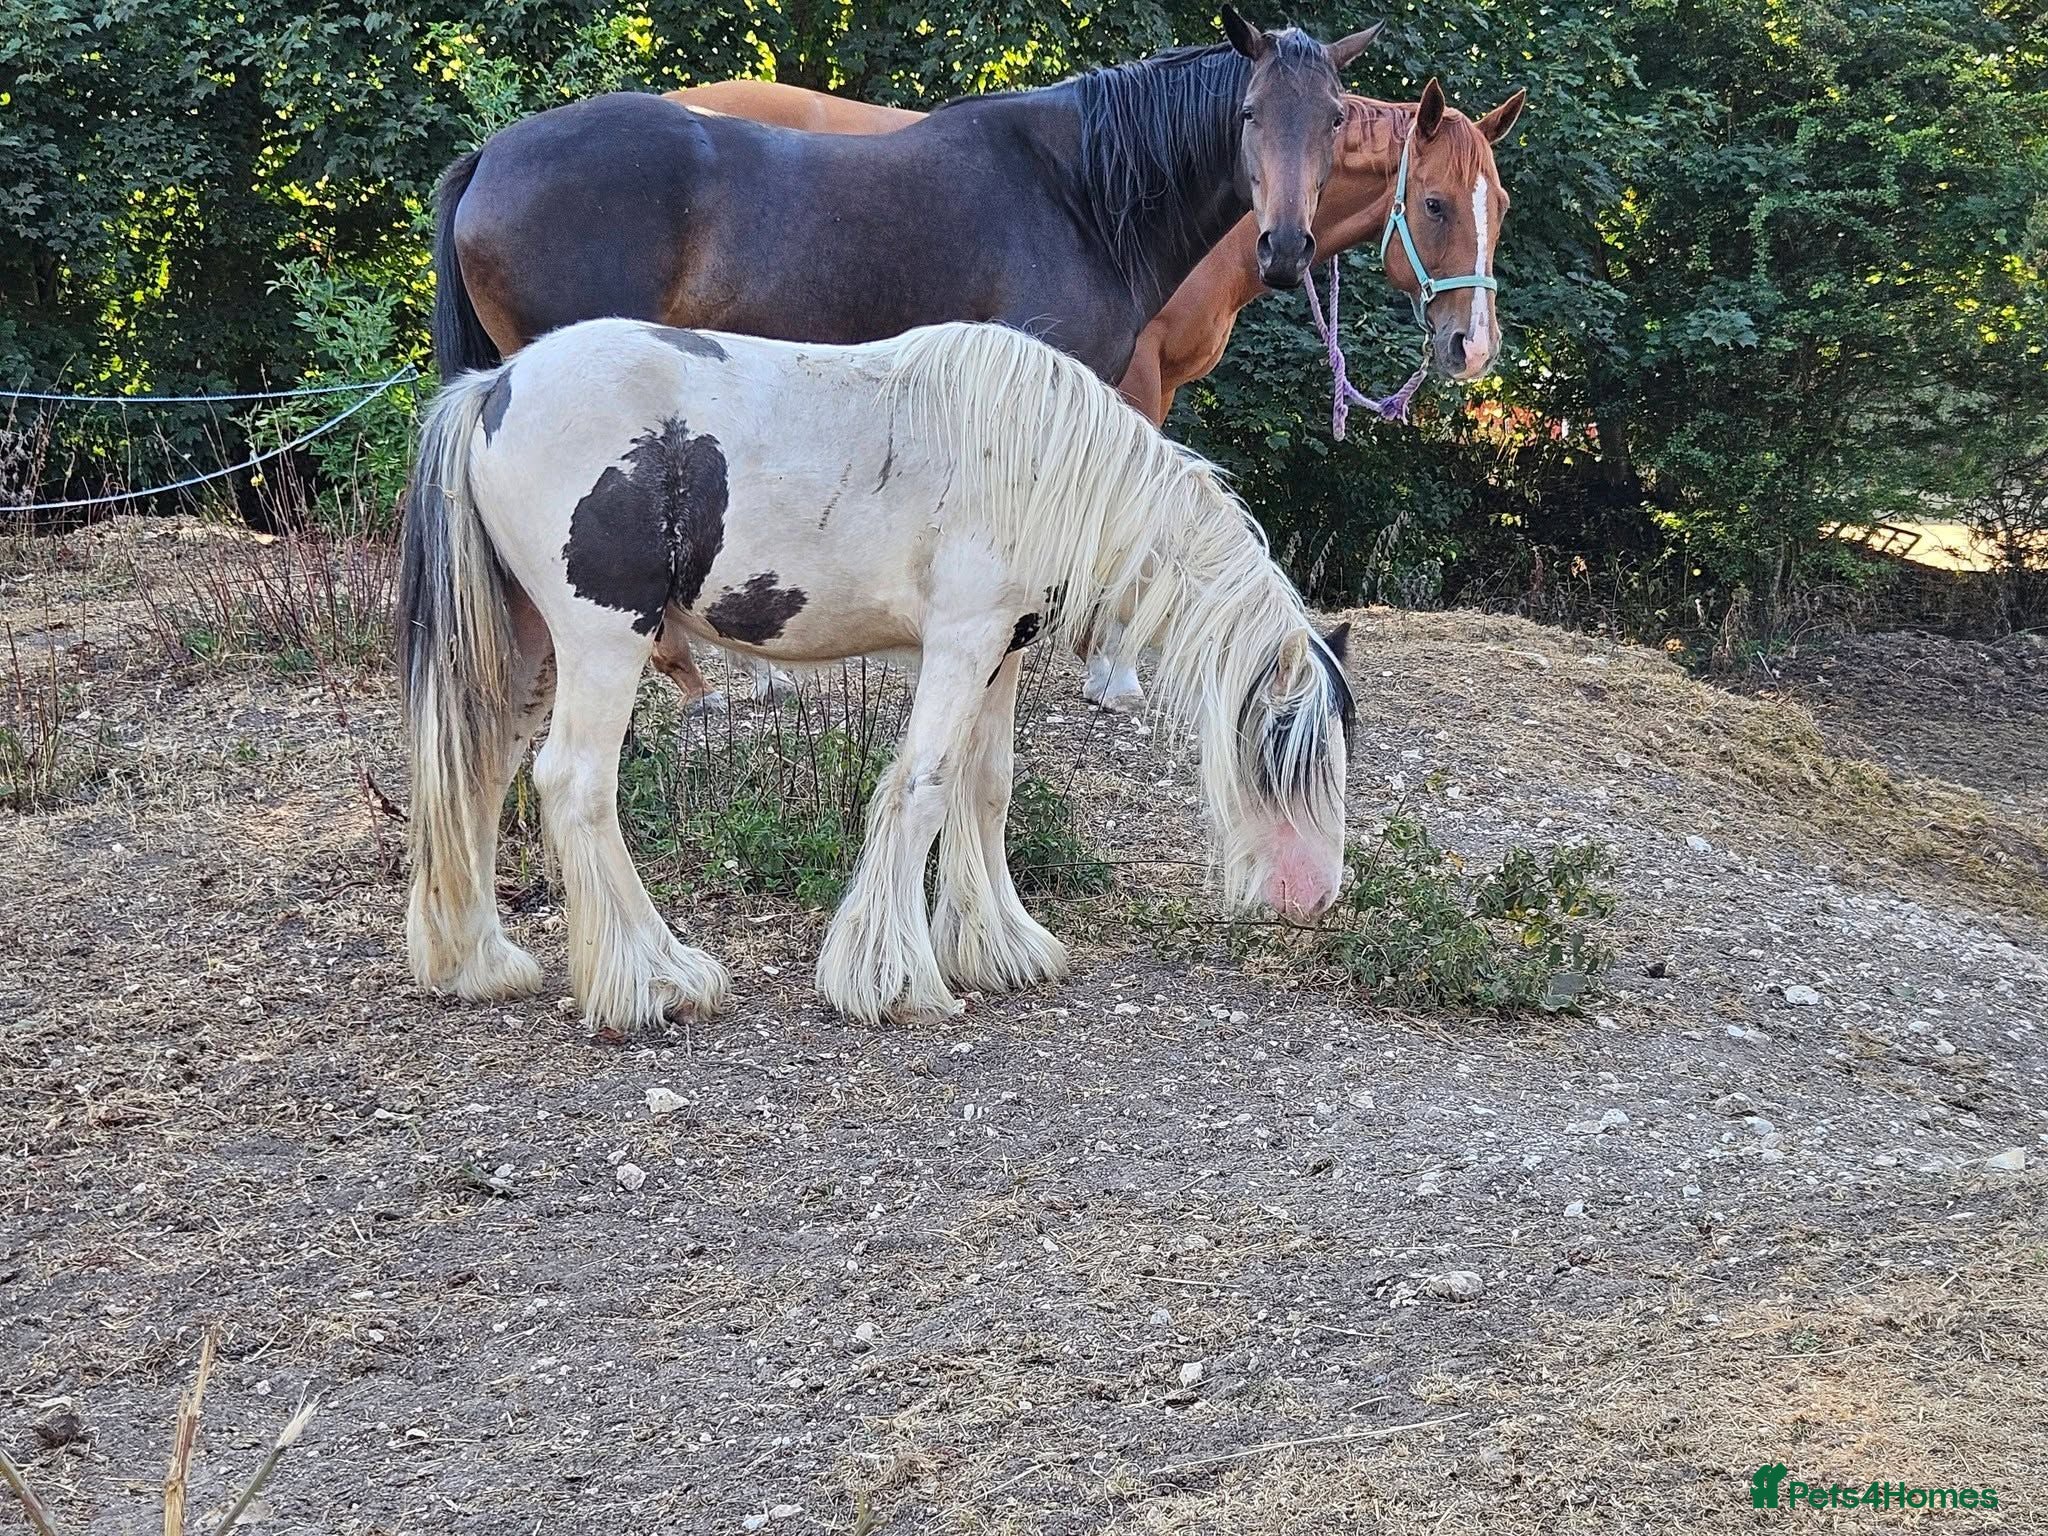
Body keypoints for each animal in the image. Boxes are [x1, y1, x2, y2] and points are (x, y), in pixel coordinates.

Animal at [398, 319, 1355, 1028]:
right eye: (1284, 758)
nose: (1314, 898)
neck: (1042, 461)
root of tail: (496, 385)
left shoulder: (998, 652)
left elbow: (985, 788)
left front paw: (999, 948)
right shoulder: (962, 643)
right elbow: (922, 788)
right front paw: (894, 980)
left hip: (527, 649)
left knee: (477, 775)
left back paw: (478, 961)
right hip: (602, 642)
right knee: (575, 784)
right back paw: (655, 978)